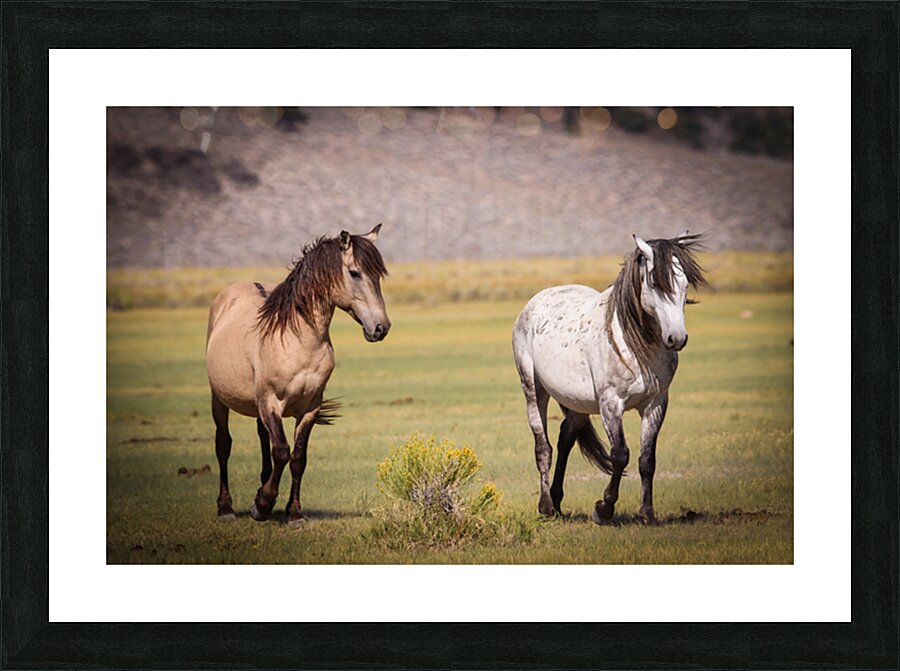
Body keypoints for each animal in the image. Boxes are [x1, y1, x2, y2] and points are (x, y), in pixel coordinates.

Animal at [205, 225, 390, 525]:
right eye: (354, 272)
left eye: (378, 275)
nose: (380, 328)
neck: (297, 339)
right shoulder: (270, 402)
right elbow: (282, 451)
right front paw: (262, 505)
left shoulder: (310, 407)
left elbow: (298, 457)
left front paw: (293, 513)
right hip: (219, 399)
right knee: (224, 444)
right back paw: (226, 508)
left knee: (263, 437)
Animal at [512, 232, 707, 524]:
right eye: (655, 282)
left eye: (684, 283)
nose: (677, 338)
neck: (636, 345)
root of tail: (533, 303)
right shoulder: (610, 404)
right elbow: (620, 455)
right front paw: (603, 508)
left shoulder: (656, 404)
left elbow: (647, 460)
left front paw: (647, 513)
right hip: (534, 391)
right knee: (543, 447)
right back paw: (546, 506)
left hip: (576, 402)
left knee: (565, 439)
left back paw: (557, 502)